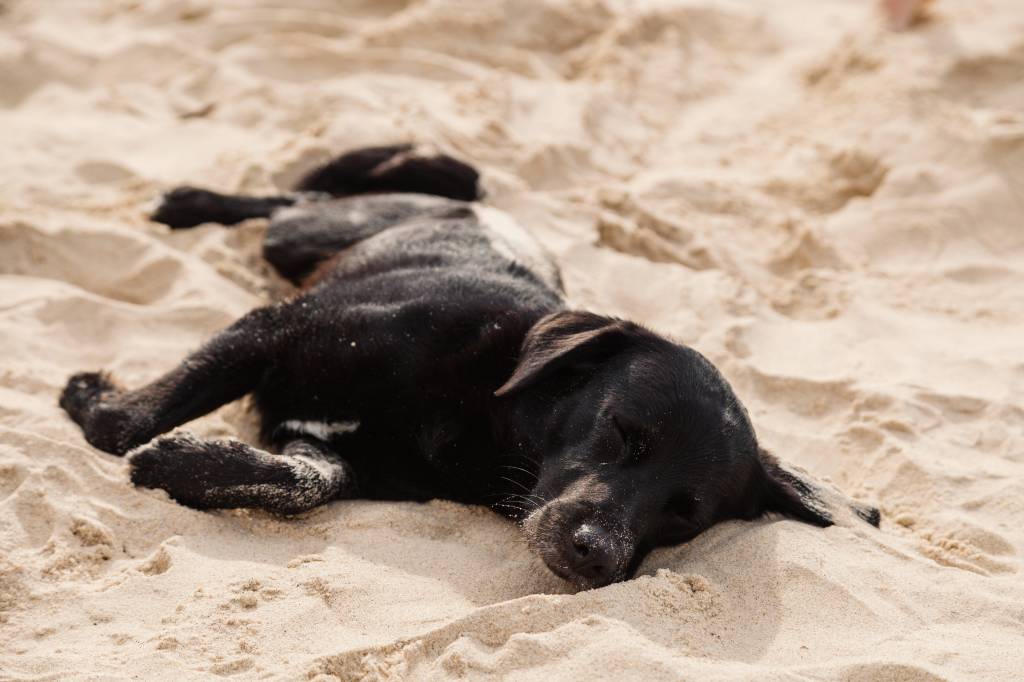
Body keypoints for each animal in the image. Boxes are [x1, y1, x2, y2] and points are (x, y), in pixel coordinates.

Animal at [58, 144, 880, 589]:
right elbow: (133, 422)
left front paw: (187, 466)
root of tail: (494, 204)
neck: (480, 413)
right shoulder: (273, 330)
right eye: (622, 433)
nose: (598, 557)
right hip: (304, 237)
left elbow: (300, 482)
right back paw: (188, 202)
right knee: (297, 198)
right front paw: (98, 407)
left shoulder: (323, 443)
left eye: (685, 514)